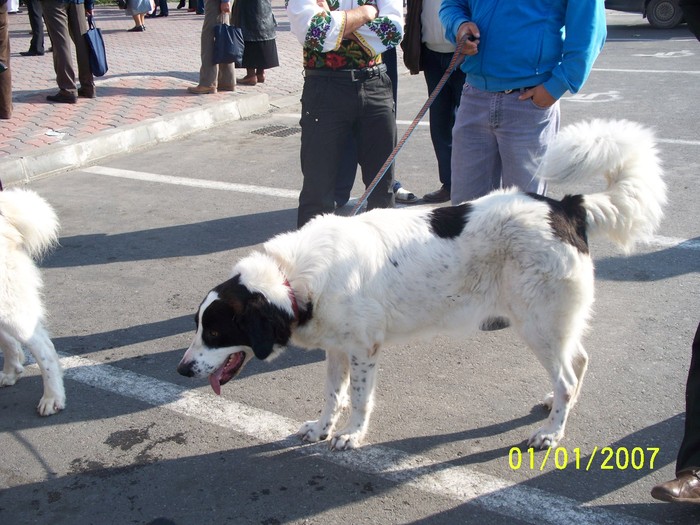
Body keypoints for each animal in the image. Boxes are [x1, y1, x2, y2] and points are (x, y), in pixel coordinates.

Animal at [176, 118, 668, 450]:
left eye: (216, 331)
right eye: (199, 326)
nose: (181, 370)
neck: (292, 277)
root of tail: (565, 207)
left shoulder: (363, 350)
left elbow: (358, 398)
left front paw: (351, 435)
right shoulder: (337, 348)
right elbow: (332, 394)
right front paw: (321, 427)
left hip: (539, 326)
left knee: (567, 375)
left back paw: (551, 433)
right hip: (554, 324)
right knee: (578, 361)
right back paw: (555, 409)